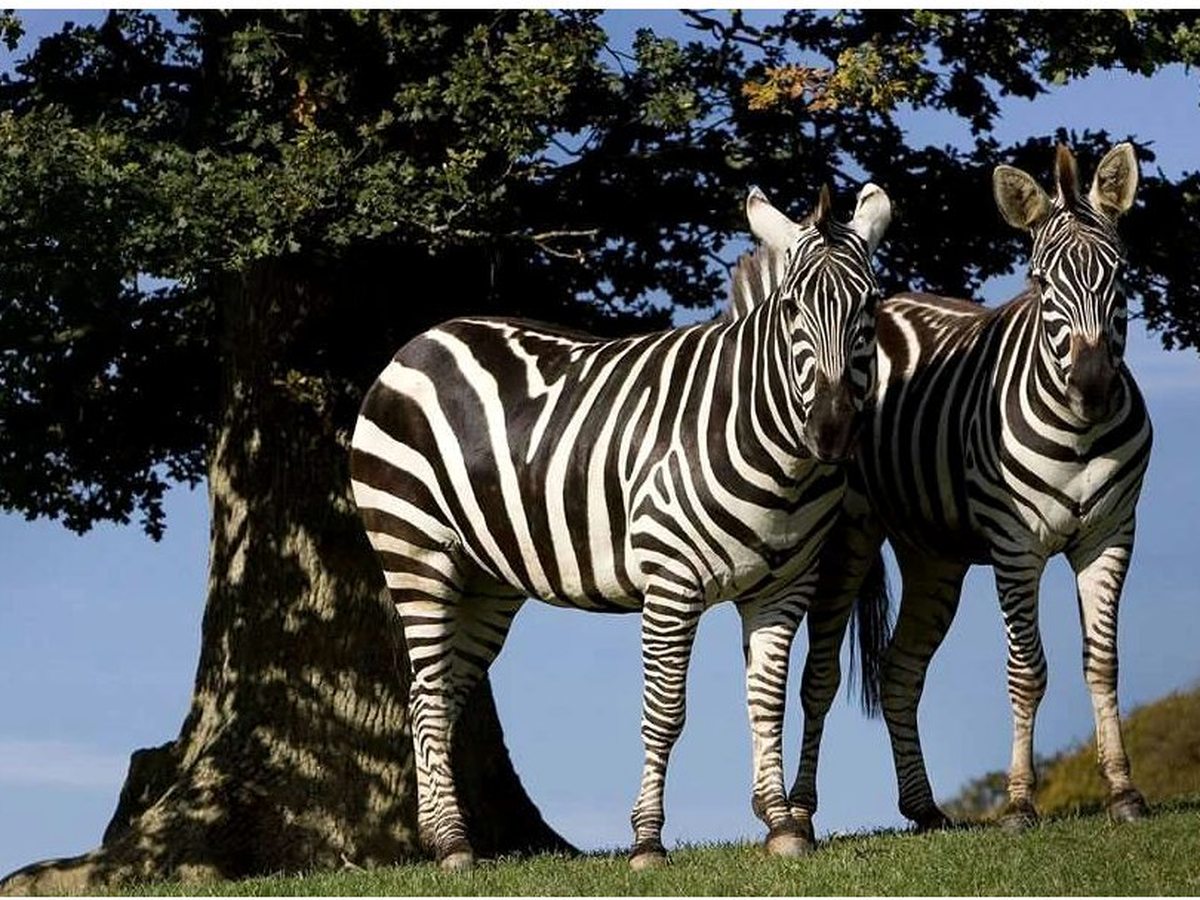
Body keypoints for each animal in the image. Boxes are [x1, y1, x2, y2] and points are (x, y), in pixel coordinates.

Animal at [349, 181, 892, 870]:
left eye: (870, 305)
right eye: (794, 307)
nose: (832, 430)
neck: (773, 450)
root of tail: (422, 339)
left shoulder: (783, 587)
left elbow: (766, 703)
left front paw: (781, 824)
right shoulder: (672, 584)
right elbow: (664, 714)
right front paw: (646, 840)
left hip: (487, 578)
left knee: (437, 696)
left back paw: (442, 836)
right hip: (416, 551)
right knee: (425, 694)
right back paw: (451, 843)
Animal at [781, 142, 1151, 836]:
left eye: (1118, 274)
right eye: (1040, 282)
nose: (1092, 386)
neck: (1081, 434)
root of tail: (891, 301)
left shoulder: (1111, 535)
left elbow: (1103, 663)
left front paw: (1123, 792)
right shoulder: (1015, 546)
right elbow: (1027, 670)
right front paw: (1020, 803)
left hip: (934, 555)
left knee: (899, 671)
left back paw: (924, 808)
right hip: (850, 537)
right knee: (819, 676)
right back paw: (802, 810)